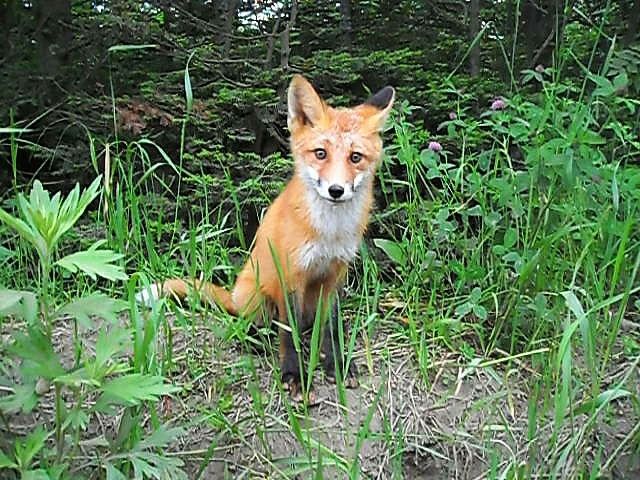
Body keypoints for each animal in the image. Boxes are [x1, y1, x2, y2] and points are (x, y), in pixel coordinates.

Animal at [138, 76, 392, 402]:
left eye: (355, 158)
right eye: (320, 153)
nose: (336, 190)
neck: (329, 233)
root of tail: (234, 293)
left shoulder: (335, 275)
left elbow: (332, 328)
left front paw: (336, 364)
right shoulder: (291, 275)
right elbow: (290, 334)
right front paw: (294, 376)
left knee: (309, 326)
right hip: (258, 296)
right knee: (255, 325)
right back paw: (255, 339)